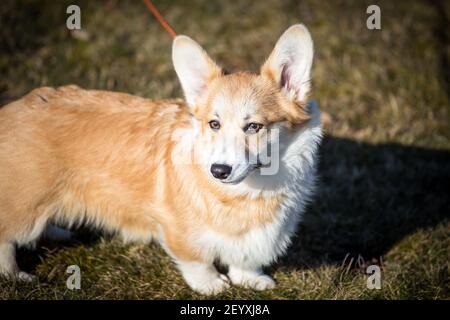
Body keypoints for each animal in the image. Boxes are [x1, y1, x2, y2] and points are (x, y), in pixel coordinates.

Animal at [0, 24, 324, 296]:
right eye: (214, 124)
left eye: (254, 126)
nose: (218, 171)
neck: (251, 191)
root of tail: (9, 110)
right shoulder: (178, 230)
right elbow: (198, 260)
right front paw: (212, 286)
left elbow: (244, 259)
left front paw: (250, 279)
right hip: (24, 203)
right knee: (6, 238)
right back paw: (15, 274)